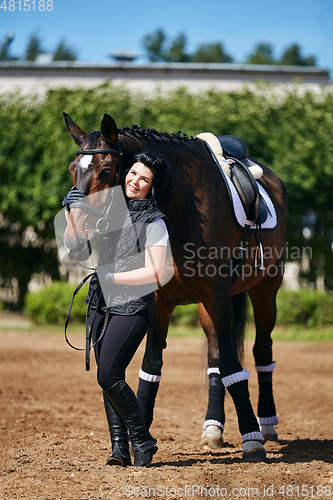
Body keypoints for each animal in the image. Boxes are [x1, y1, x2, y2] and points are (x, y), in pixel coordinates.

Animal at [61, 112, 286, 460]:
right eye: (73, 170)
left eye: (106, 171)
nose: (72, 239)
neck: (180, 211)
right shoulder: (160, 300)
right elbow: (151, 367)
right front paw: (139, 434)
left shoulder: (217, 295)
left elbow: (234, 366)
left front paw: (252, 438)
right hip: (210, 307)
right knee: (215, 360)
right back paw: (212, 428)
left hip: (265, 290)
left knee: (261, 351)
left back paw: (266, 423)